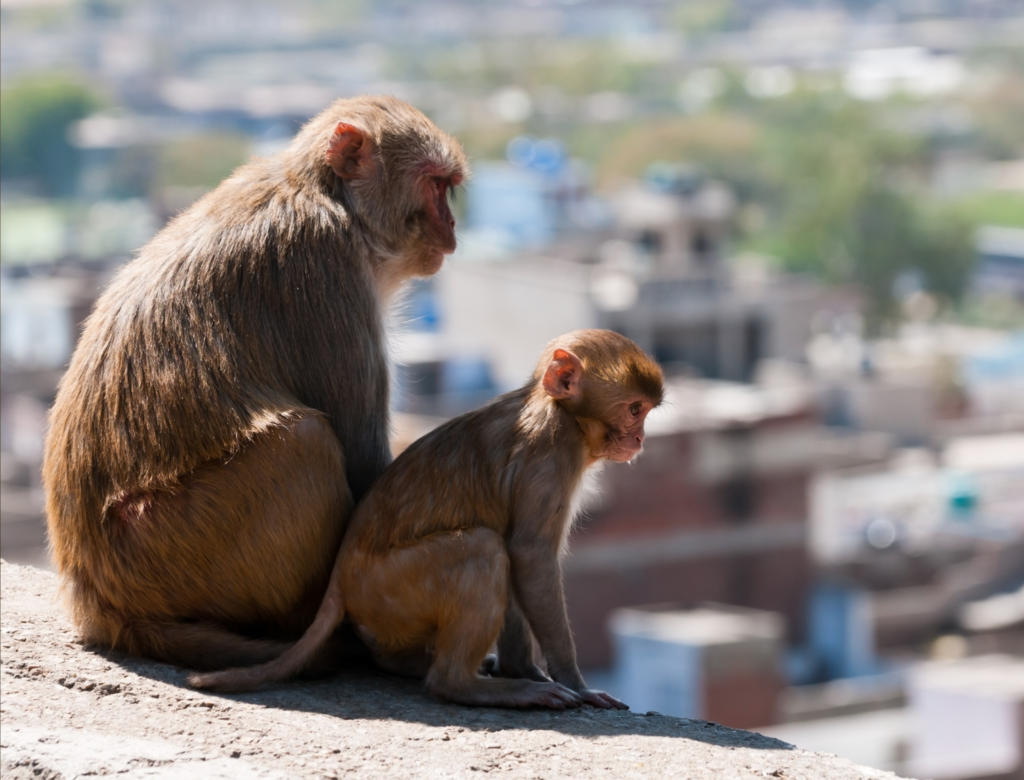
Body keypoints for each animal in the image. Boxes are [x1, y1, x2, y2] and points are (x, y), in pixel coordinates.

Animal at [42, 96, 469, 671]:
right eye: (435, 185)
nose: (452, 225)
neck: (327, 196)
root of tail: (95, 601)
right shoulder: (323, 268)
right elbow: (361, 460)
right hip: (168, 540)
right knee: (305, 439)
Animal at [189, 329, 664, 709]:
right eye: (635, 409)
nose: (642, 439)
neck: (558, 411)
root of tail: (340, 582)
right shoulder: (552, 456)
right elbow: (529, 555)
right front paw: (571, 683)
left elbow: (520, 558)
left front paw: (522, 669)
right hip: (393, 588)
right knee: (483, 547)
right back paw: (459, 684)